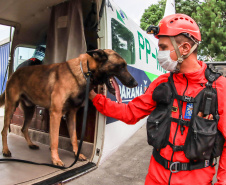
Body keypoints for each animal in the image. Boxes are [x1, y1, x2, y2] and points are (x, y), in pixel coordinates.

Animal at [0, 49, 138, 166]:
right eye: (121, 66)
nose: (135, 83)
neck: (84, 71)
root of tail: (14, 73)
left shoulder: (71, 114)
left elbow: (74, 137)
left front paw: (77, 154)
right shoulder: (56, 113)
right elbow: (54, 140)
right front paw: (55, 159)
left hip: (30, 110)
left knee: (24, 128)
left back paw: (30, 144)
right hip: (11, 107)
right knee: (4, 130)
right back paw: (6, 150)